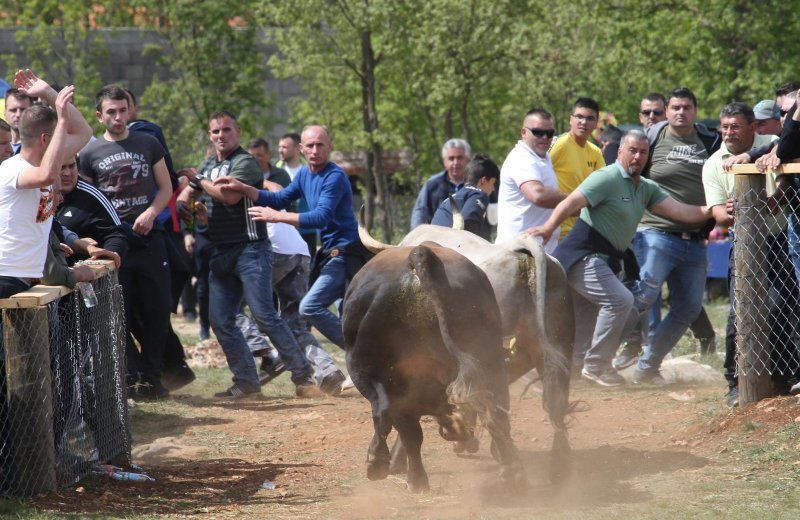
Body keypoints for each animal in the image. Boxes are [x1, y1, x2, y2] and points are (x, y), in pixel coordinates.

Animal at [342, 243, 524, 492]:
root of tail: (419, 254)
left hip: (372, 369)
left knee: (391, 417)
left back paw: (385, 465)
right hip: (488, 360)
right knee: (494, 412)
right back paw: (509, 470)